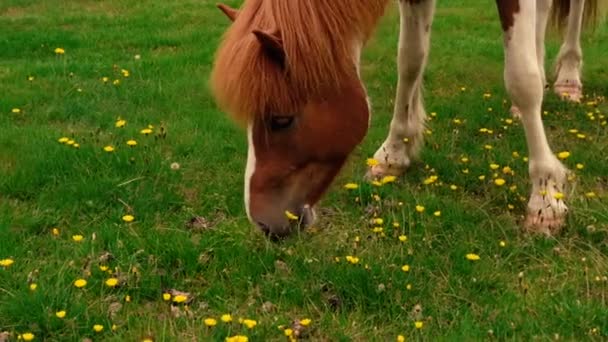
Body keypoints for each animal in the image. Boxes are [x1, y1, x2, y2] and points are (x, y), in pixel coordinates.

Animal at [209, 0, 604, 238]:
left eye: (281, 119)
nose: (263, 223)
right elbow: (410, 57)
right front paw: (394, 154)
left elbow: (522, 79)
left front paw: (545, 196)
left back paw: (568, 79)